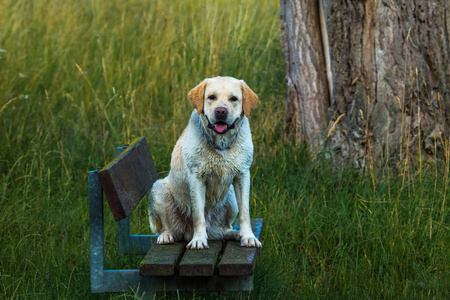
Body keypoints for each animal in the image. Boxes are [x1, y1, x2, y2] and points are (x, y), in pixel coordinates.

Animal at [148, 76, 260, 250]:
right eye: (211, 97)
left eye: (234, 99)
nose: (221, 111)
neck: (221, 144)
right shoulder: (196, 178)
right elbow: (198, 213)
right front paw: (199, 240)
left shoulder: (242, 175)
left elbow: (245, 213)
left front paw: (248, 237)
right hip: (159, 189)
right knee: (167, 227)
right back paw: (167, 236)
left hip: (231, 197)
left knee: (223, 229)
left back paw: (235, 234)